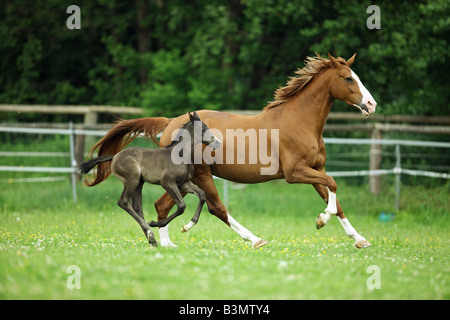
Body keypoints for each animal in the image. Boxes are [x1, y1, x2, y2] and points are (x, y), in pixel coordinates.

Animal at [80, 112, 223, 248]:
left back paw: (151, 239)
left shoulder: (184, 184)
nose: (218, 143)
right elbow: (182, 205)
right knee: (124, 202)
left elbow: (202, 195)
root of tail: (115, 156)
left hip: (139, 183)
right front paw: (155, 223)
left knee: (137, 206)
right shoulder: (168, 183)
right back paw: (150, 233)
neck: (181, 155)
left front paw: (187, 226)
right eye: (203, 129)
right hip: (132, 180)